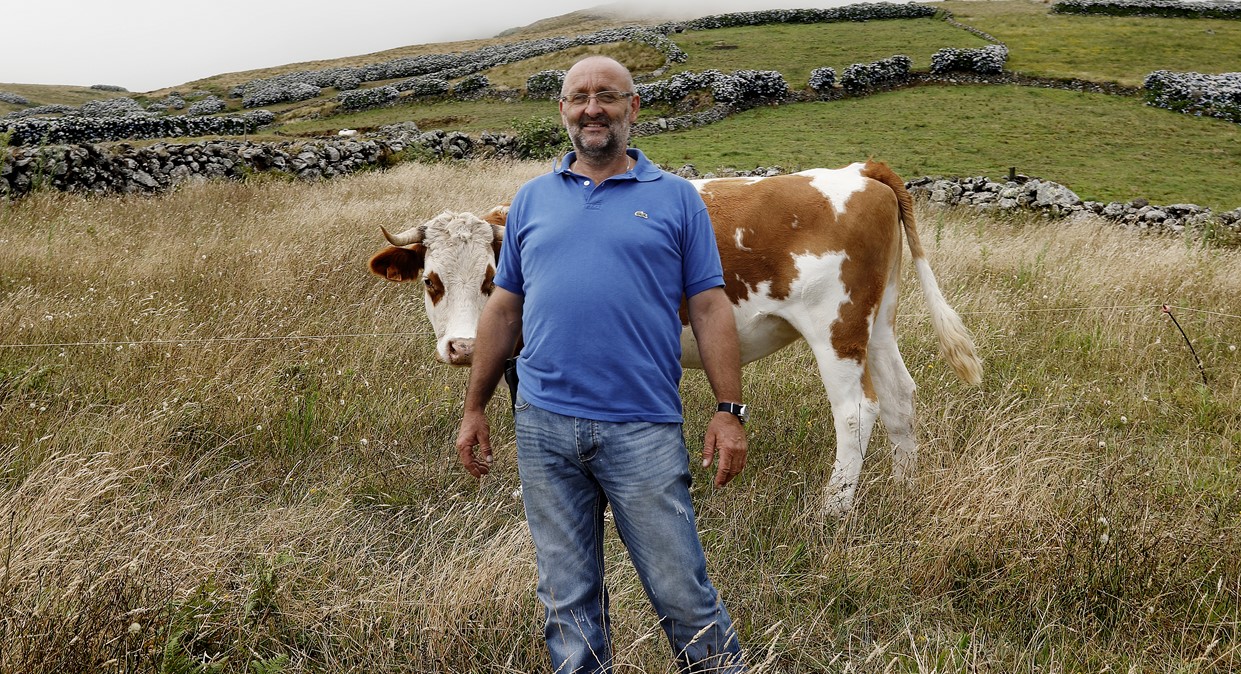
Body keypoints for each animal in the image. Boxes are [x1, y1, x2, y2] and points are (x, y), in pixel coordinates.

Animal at [368, 160, 982, 516]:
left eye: (491, 279)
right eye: (431, 281)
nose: (465, 348)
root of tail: (861, 171)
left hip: (838, 325)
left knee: (857, 411)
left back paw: (833, 510)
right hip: (877, 321)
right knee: (900, 398)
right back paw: (905, 488)